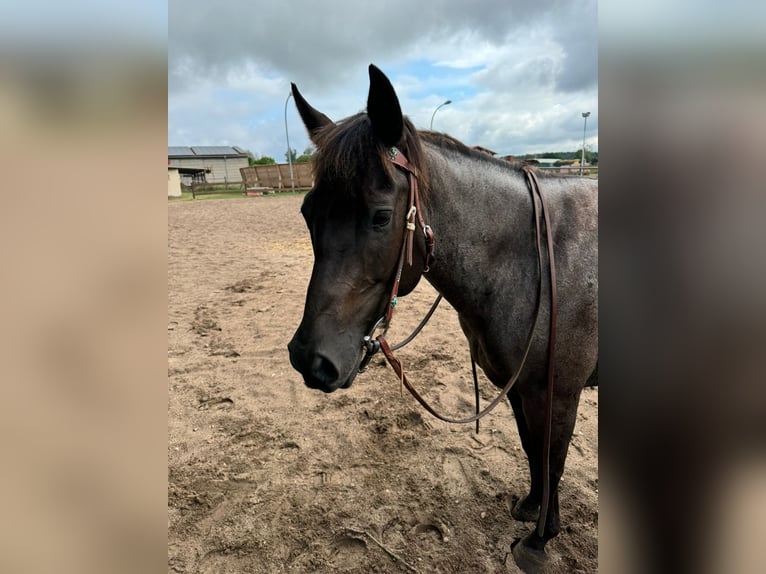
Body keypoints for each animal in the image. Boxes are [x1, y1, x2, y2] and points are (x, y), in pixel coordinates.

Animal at [288, 64, 600, 574]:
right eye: (307, 212)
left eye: (381, 216)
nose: (310, 359)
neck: (534, 258)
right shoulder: (520, 388)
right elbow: (532, 451)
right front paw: (531, 508)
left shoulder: (558, 392)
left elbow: (551, 459)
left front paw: (539, 540)